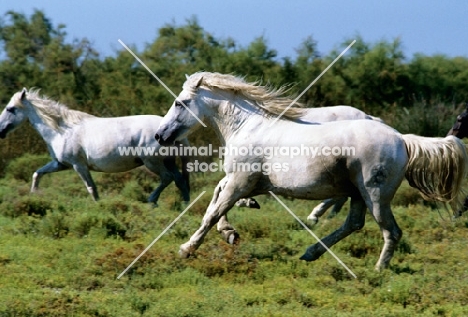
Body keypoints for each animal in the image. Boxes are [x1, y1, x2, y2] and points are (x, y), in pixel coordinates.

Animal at [0, 87, 190, 204]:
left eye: (10, 109)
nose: (0, 130)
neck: (62, 131)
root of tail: (167, 131)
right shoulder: (60, 164)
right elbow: (37, 174)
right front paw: (33, 196)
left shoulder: (78, 165)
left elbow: (91, 188)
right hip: (168, 161)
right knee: (180, 180)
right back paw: (184, 205)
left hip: (152, 162)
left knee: (167, 178)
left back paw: (152, 201)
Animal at [155, 71, 466, 270]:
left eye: (179, 103)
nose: (160, 135)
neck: (248, 126)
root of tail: (402, 139)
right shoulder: (243, 182)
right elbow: (216, 200)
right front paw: (230, 232)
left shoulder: (240, 182)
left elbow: (212, 212)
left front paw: (187, 249)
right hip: (357, 193)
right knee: (353, 224)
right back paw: (310, 253)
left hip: (375, 196)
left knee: (391, 231)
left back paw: (377, 271)